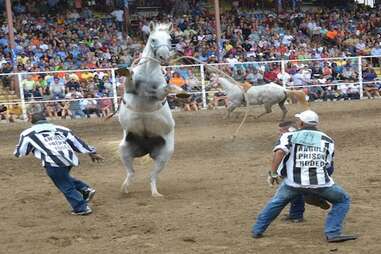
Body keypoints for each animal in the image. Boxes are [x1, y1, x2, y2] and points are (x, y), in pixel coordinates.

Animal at [117, 22, 174, 196]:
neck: (148, 73)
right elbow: (129, 80)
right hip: (124, 149)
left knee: (152, 175)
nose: (164, 57)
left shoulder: (159, 94)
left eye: (170, 39)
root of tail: (146, 148)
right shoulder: (129, 89)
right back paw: (125, 189)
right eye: (153, 39)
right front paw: (125, 70)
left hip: (164, 155)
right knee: (131, 173)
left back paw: (155, 193)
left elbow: (163, 91)